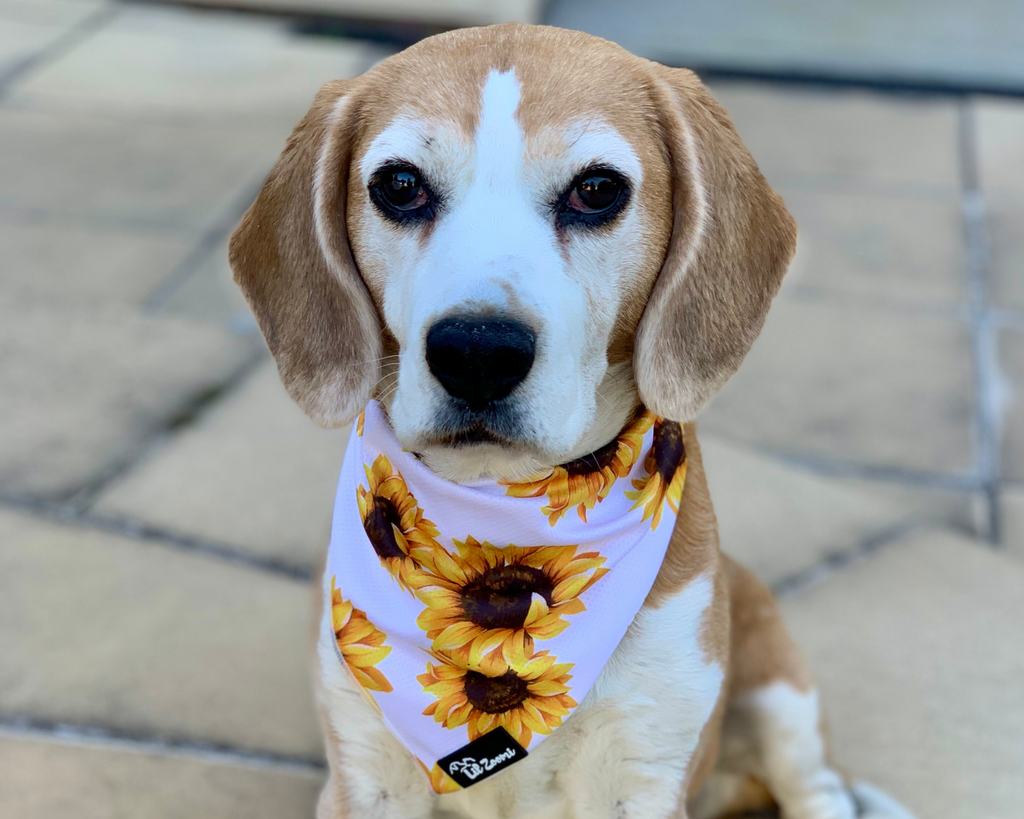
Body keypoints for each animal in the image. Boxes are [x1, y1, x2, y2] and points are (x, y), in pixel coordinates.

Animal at [226, 24, 913, 818]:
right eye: (399, 186)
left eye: (596, 189)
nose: (477, 352)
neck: (502, 513)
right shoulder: (366, 781)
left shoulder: (642, 776)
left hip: (782, 701)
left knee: (818, 789)